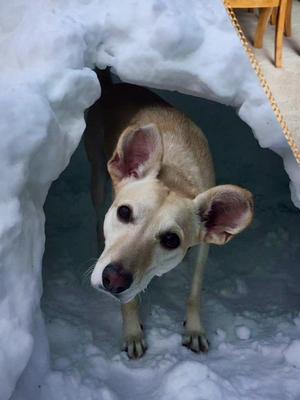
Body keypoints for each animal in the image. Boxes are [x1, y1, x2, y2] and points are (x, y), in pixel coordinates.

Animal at [84, 72, 253, 360]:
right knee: (96, 217)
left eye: (172, 240)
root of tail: (110, 86)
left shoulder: (202, 250)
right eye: (124, 212)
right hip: (97, 175)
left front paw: (194, 330)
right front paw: (133, 333)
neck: (177, 176)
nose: (113, 280)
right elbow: (130, 302)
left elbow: (194, 293)